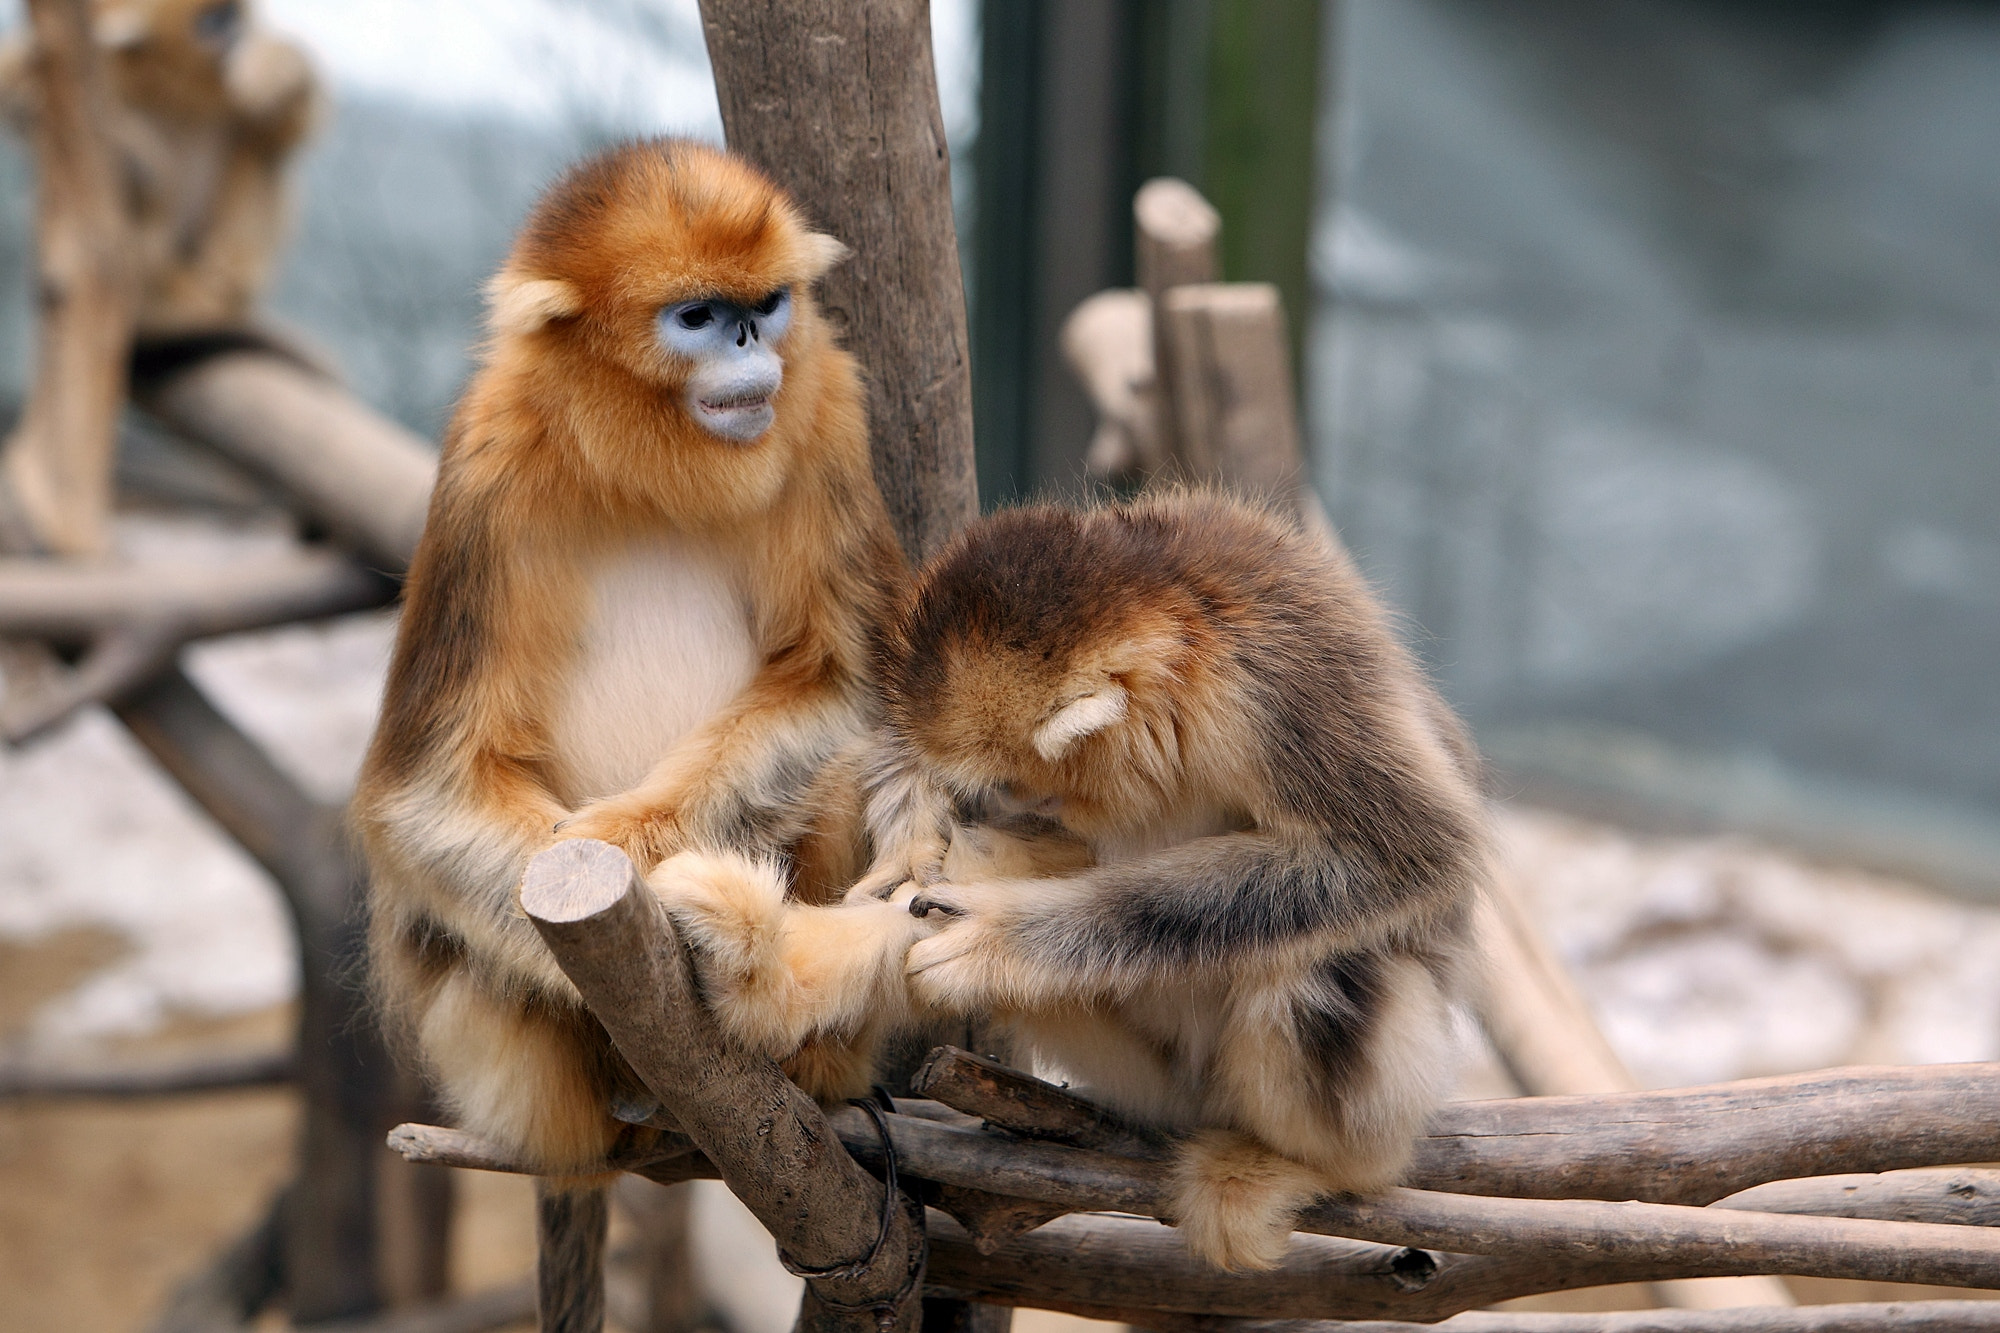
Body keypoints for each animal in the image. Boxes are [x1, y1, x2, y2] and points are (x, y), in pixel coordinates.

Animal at [0, 0, 319, 336]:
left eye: (230, 15)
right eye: (213, 24)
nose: (237, 35)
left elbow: (286, 129)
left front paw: (278, 67)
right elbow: (24, 100)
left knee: (263, 148)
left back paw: (220, 280)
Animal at [351, 139, 905, 1179]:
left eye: (766, 301)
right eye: (696, 316)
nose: (750, 343)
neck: (652, 475)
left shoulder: (826, 415)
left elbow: (849, 689)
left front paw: (675, 888)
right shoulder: (487, 462)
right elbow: (429, 791)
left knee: (843, 764)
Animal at [653, 490, 1490, 1271]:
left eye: (1024, 784)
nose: (1011, 806)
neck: (1178, 608)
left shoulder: (1277, 680)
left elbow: (1403, 854)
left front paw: (1000, 938)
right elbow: (908, 811)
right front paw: (913, 847)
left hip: (1368, 1094)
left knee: (1322, 968)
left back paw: (1305, 1164)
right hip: (1142, 1076)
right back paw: (758, 967)